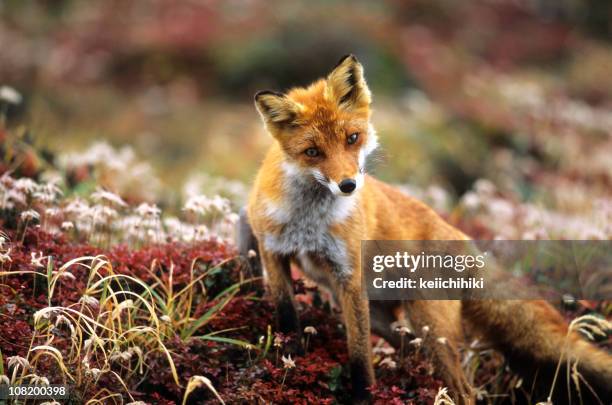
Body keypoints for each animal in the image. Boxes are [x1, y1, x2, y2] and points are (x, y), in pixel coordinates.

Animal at [238, 54, 612, 404]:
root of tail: (463, 238)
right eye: (313, 152)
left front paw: (363, 396)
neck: (308, 222)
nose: (348, 186)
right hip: (389, 318)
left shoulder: (348, 277)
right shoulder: (272, 250)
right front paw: (290, 357)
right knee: (410, 350)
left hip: (429, 324)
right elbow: (287, 314)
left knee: (463, 390)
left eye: (352, 138)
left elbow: (359, 353)